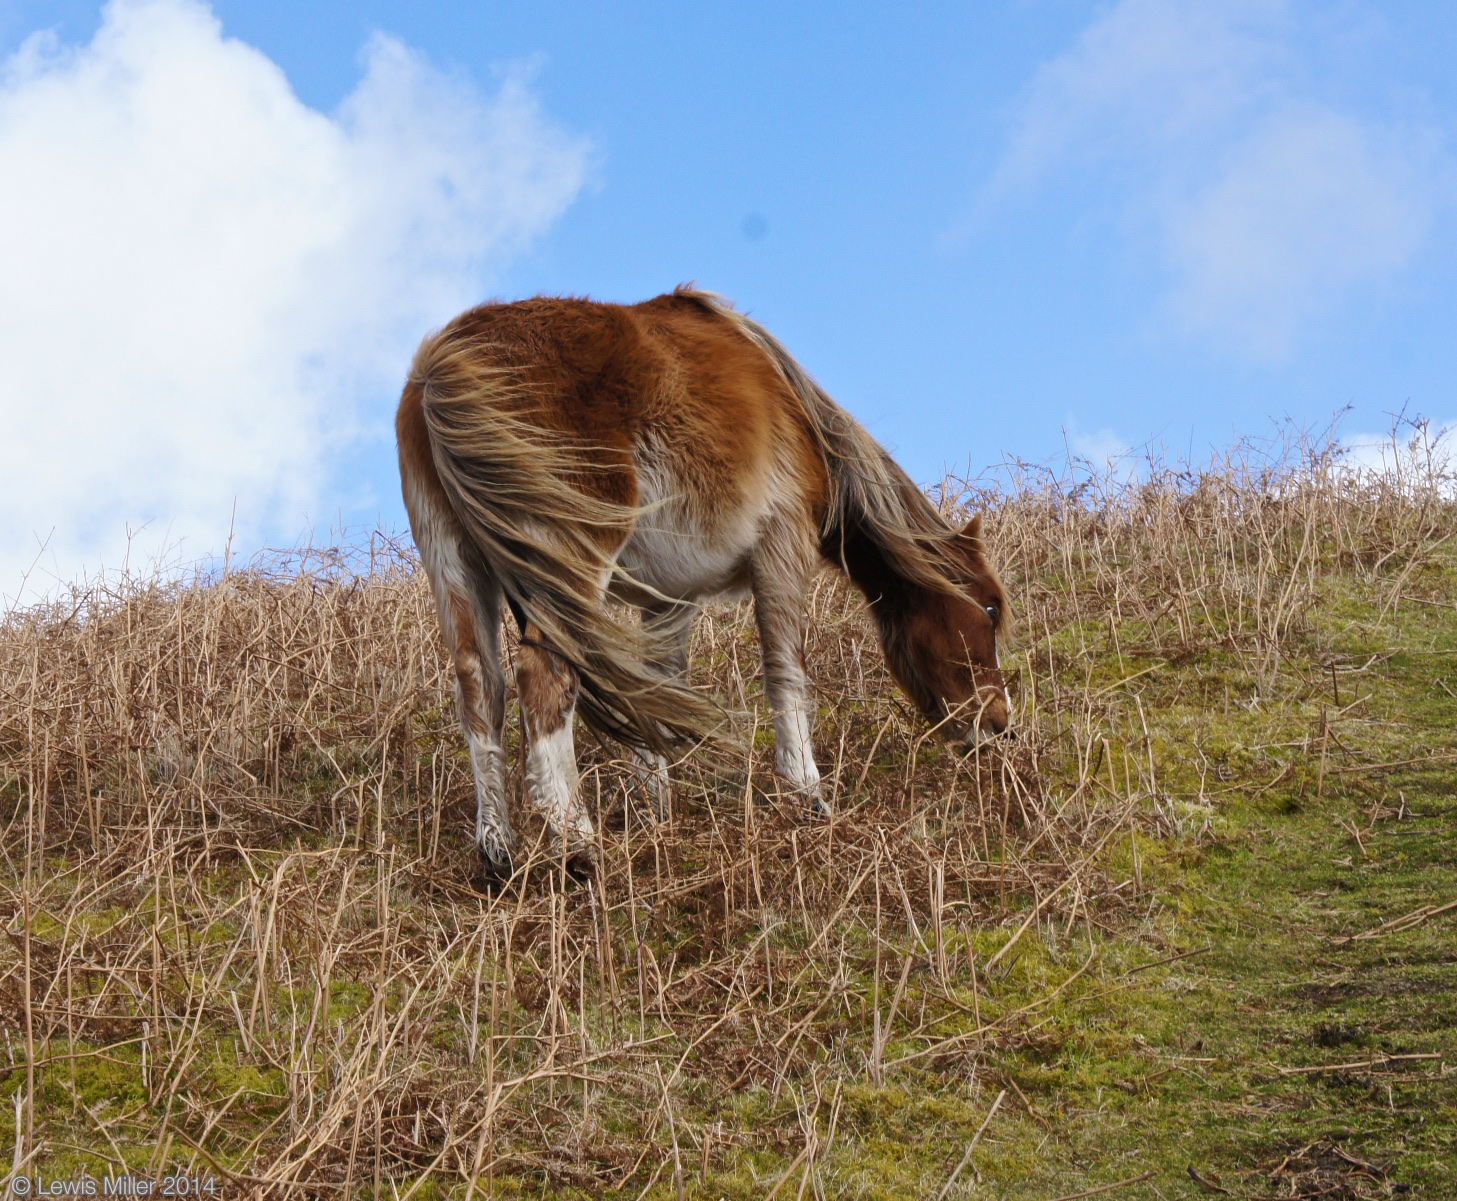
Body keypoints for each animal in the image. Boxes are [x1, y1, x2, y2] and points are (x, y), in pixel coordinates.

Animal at [399, 285, 1014, 874]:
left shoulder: (671, 599)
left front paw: (659, 814)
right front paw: (807, 796)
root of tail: (444, 361)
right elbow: (786, 673)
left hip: (457, 566)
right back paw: (577, 847)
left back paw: (497, 850)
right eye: (988, 609)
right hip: (565, 566)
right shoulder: (780, 547)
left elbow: (653, 689)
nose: (1000, 723)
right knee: (544, 677)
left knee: (481, 687)